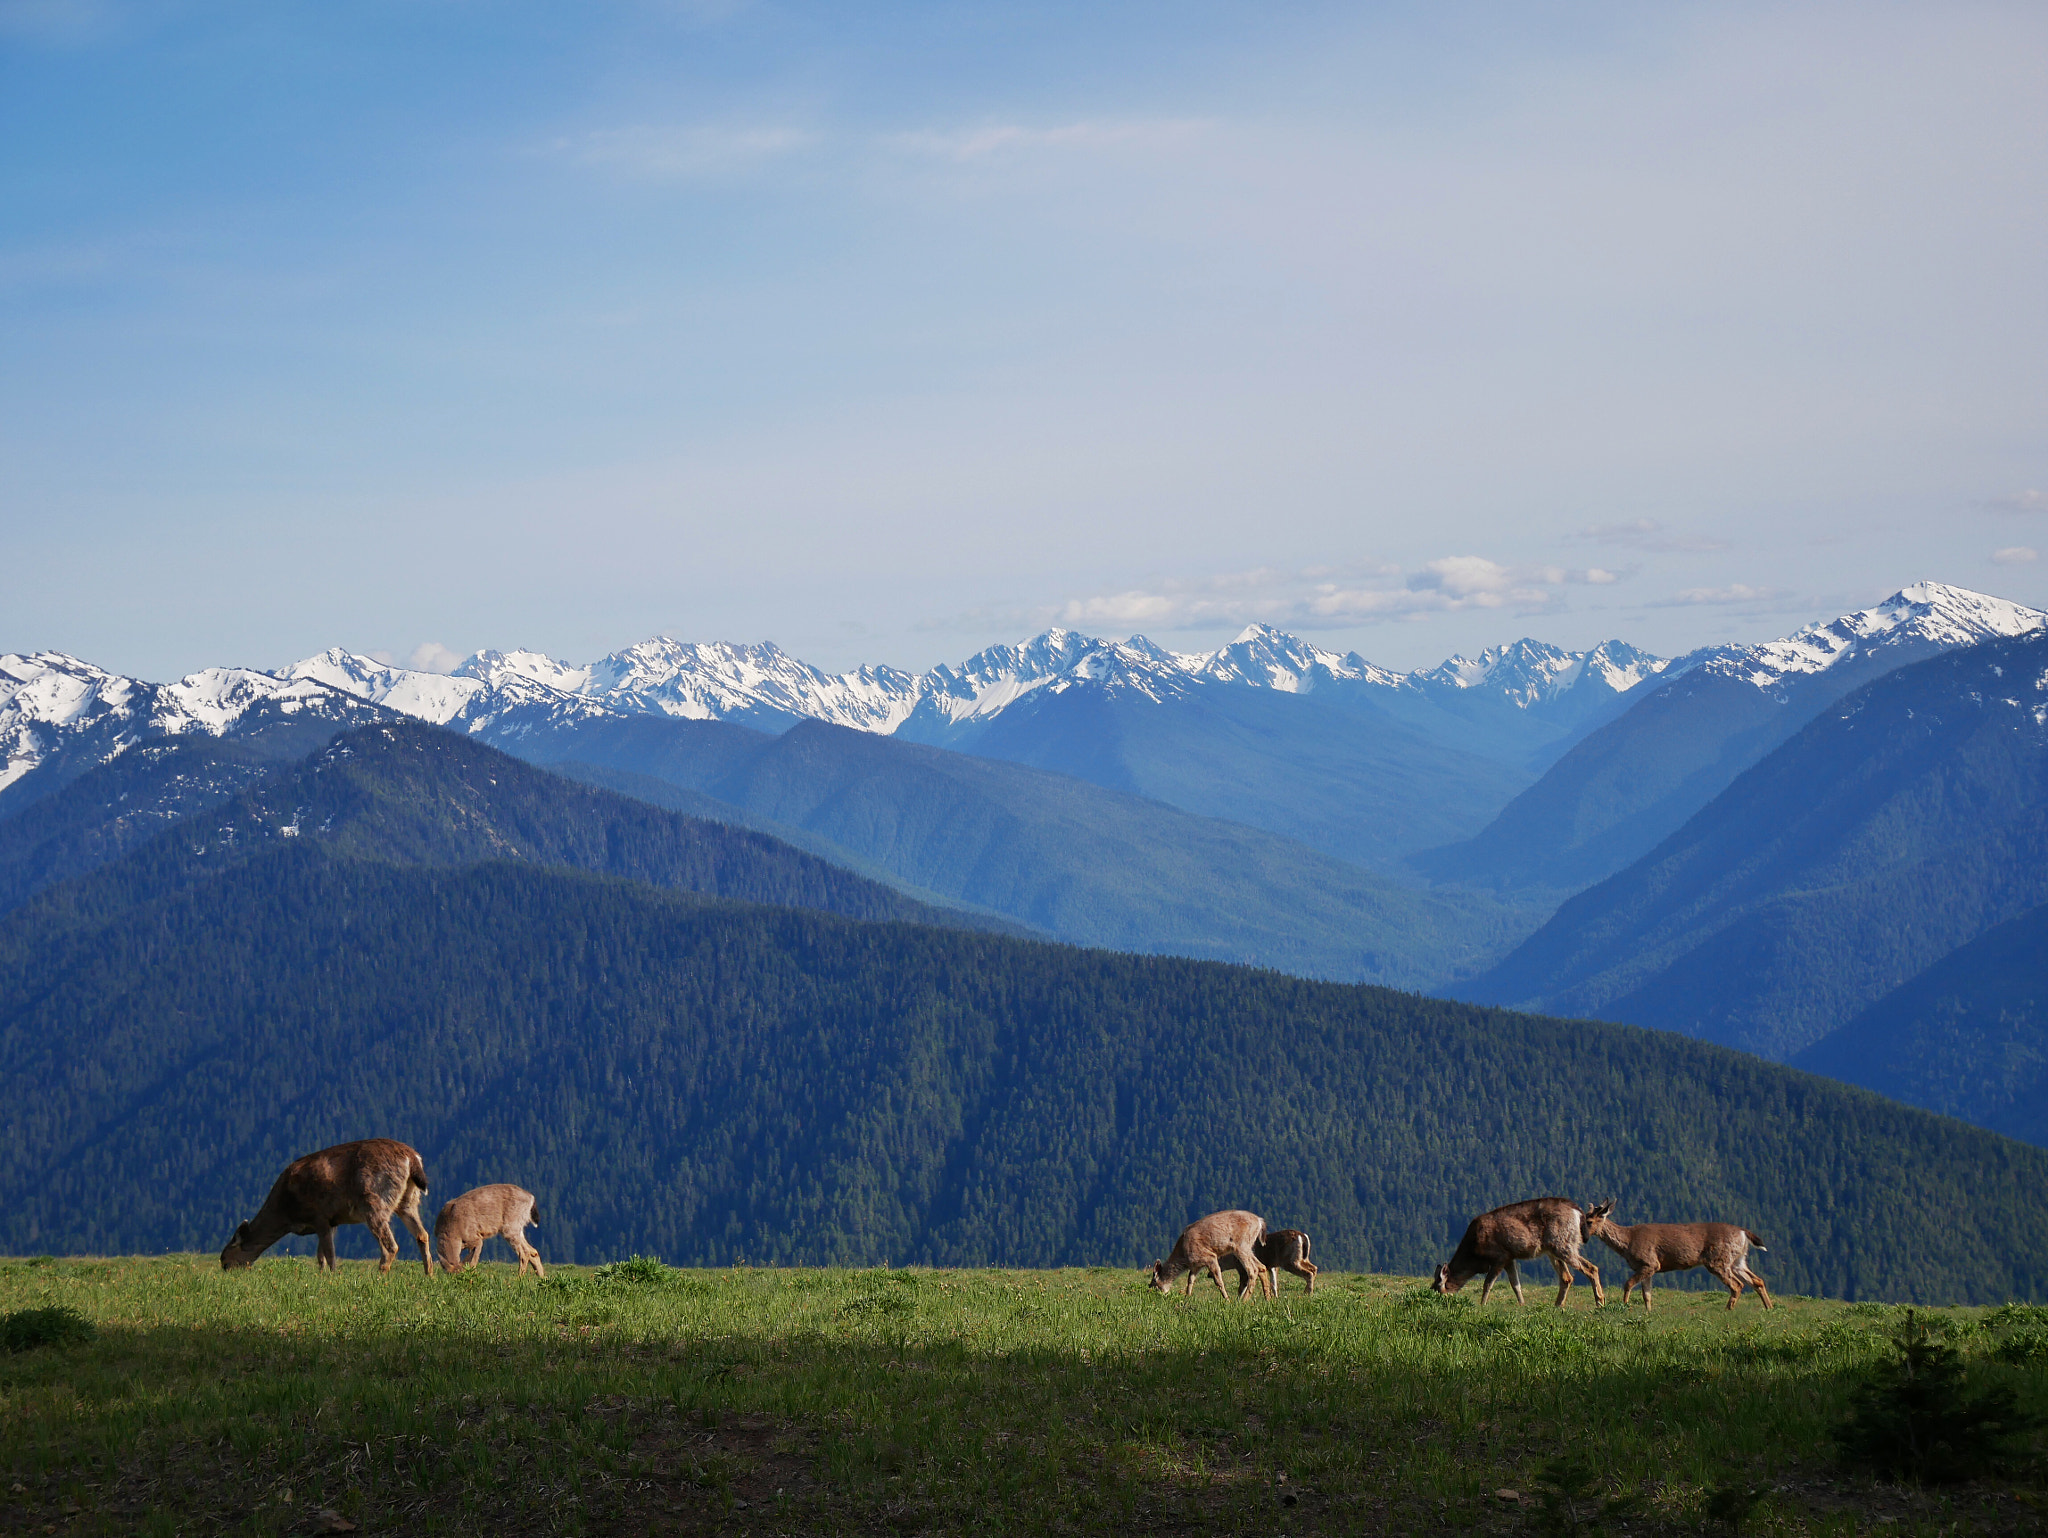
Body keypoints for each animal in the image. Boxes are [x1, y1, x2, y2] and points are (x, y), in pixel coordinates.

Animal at [220, 1138, 436, 1277]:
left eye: (225, 1257)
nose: (225, 1268)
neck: (286, 1211)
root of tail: (412, 1157)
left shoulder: (320, 1216)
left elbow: (329, 1254)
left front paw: (332, 1277)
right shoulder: (332, 1222)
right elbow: (321, 1255)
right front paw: (322, 1276)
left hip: (374, 1202)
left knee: (391, 1246)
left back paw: (379, 1276)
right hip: (408, 1200)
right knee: (422, 1234)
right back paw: (429, 1275)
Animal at [1433, 1195, 1605, 1302]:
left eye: (1437, 1290)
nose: (1435, 1300)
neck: (1474, 1255)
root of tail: (1578, 1211)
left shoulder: (1500, 1256)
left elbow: (1488, 1284)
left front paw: (1482, 1305)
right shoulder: (1510, 1257)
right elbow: (1516, 1285)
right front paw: (1522, 1304)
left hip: (1563, 1243)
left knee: (1591, 1268)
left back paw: (1600, 1301)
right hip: (1554, 1249)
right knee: (1567, 1277)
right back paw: (1558, 1306)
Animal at [1572, 1204, 1769, 1310]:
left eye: (1589, 1221)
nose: (1581, 1235)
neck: (1628, 1241)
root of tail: (1743, 1232)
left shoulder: (1650, 1262)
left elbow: (1628, 1284)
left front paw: (1624, 1306)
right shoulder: (1647, 1268)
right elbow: (1647, 1294)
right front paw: (1648, 1312)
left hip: (1718, 1260)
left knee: (1737, 1285)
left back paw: (1726, 1310)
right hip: (1738, 1259)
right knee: (1757, 1280)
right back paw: (1769, 1308)